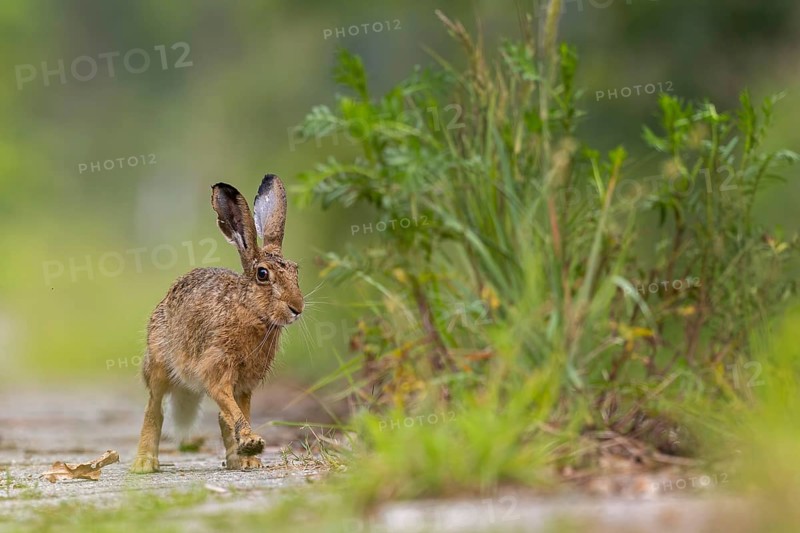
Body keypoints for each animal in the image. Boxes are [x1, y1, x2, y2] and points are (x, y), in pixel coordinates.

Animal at [130, 174, 304, 473]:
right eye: (262, 274)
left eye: (296, 270)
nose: (297, 308)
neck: (248, 310)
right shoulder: (216, 368)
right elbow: (231, 407)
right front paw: (252, 442)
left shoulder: (245, 384)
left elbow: (238, 412)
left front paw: (250, 454)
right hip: (160, 365)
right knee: (155, 410)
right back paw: (144, 463)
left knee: (222, 417)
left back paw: (239, 460)